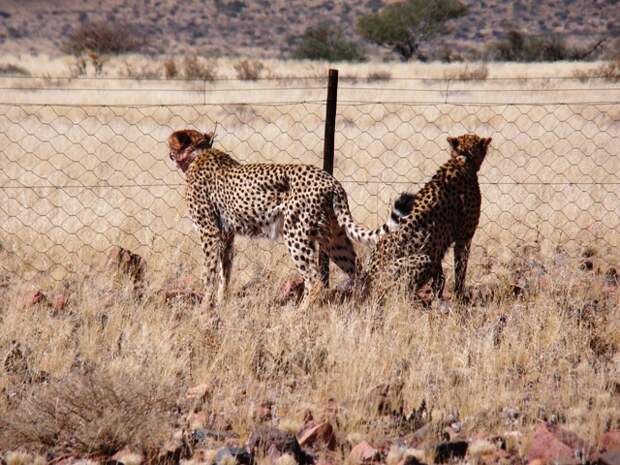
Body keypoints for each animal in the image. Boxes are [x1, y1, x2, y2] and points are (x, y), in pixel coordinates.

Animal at [168, 128, 392, 308]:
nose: (169, 153)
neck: (198, 154)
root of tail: (331, 180)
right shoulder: (226, 235)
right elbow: (225, 272)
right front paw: (221, 302)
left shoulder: (209, 232)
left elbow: (208, 273)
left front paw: (204, 308)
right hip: (335, 238)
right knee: (359, 273)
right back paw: (364, 306)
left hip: (295, 234)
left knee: (314, 279)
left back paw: (299, 314)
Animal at [366, 134, 492, 300]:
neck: (463, 160)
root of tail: (366, 283)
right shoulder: (464, 238)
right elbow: (460, 269)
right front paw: (459, 296)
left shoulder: (437, 245)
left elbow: (440, 275)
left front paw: (438, 294)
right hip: (421, 259)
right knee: (395, 292)